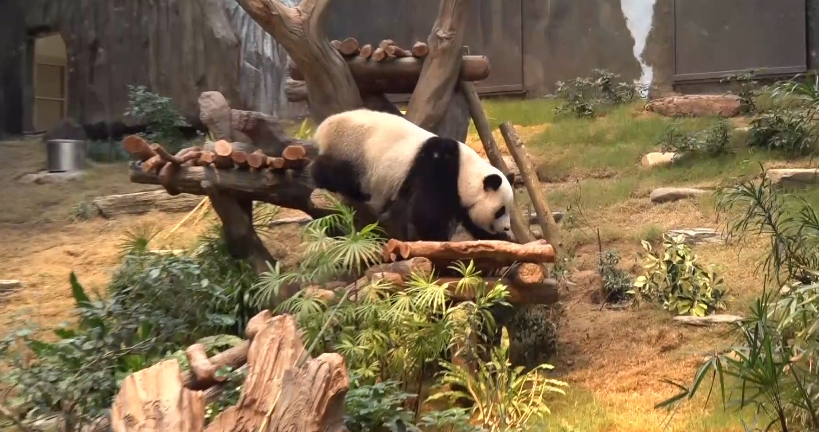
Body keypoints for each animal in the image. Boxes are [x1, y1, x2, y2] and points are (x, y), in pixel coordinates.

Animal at [309, 108, 516, 242]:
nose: (506, 227)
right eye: (500, 210)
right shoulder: (437, 168)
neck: (464, 171)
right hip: (352, 151)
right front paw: (434, 238)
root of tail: (322, 128)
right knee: (338, 174)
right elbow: (426, 213)